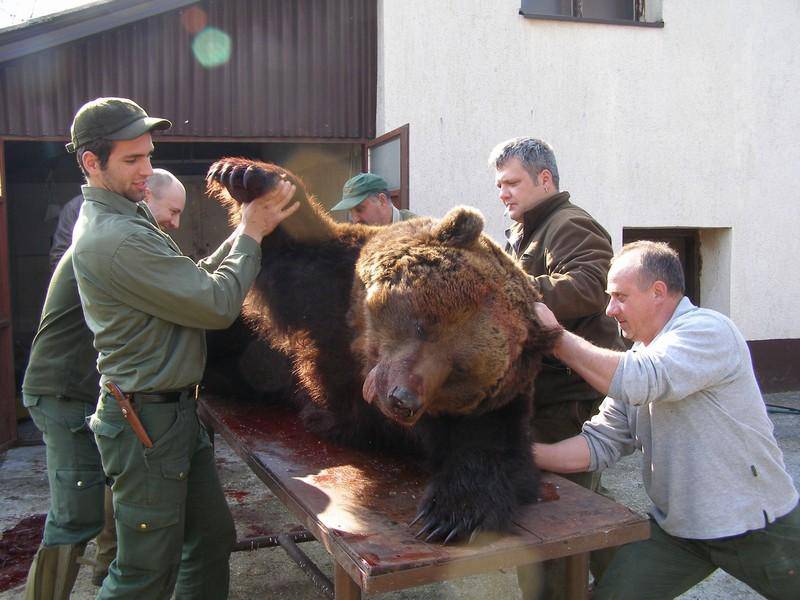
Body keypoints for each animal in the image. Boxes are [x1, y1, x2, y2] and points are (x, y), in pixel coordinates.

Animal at [206, 159, 556, 544]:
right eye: (423, 324)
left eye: (460, 368)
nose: (402, 400)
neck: (359, 355)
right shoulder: (333, 288)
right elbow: (297, 250)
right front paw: (245, 175)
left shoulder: (491, 407)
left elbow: (496, 454)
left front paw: (451, 514)